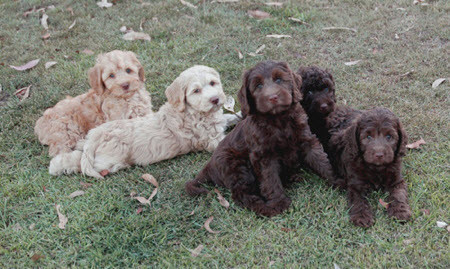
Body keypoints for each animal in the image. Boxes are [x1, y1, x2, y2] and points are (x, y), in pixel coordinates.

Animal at [48, 65, 239, 178]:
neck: (193, 111)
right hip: (110, 158)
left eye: (213, 83)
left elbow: (230, 117)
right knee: (81, 162)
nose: (215, 99)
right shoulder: (211, 140)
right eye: (196, 91)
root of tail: (97, 136)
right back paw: (57, 166)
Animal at [185, 60, 336, 216]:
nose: (273, 97)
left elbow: (321, 160)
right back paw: (265, 208)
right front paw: (279, 203)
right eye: (258, 86)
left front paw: (338, 180)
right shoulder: (263, 156)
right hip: (237, 167)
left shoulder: (306, 140)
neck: (278, 120)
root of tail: (209, 166)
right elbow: (270, 179)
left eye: (279, 80)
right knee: (241, 195)